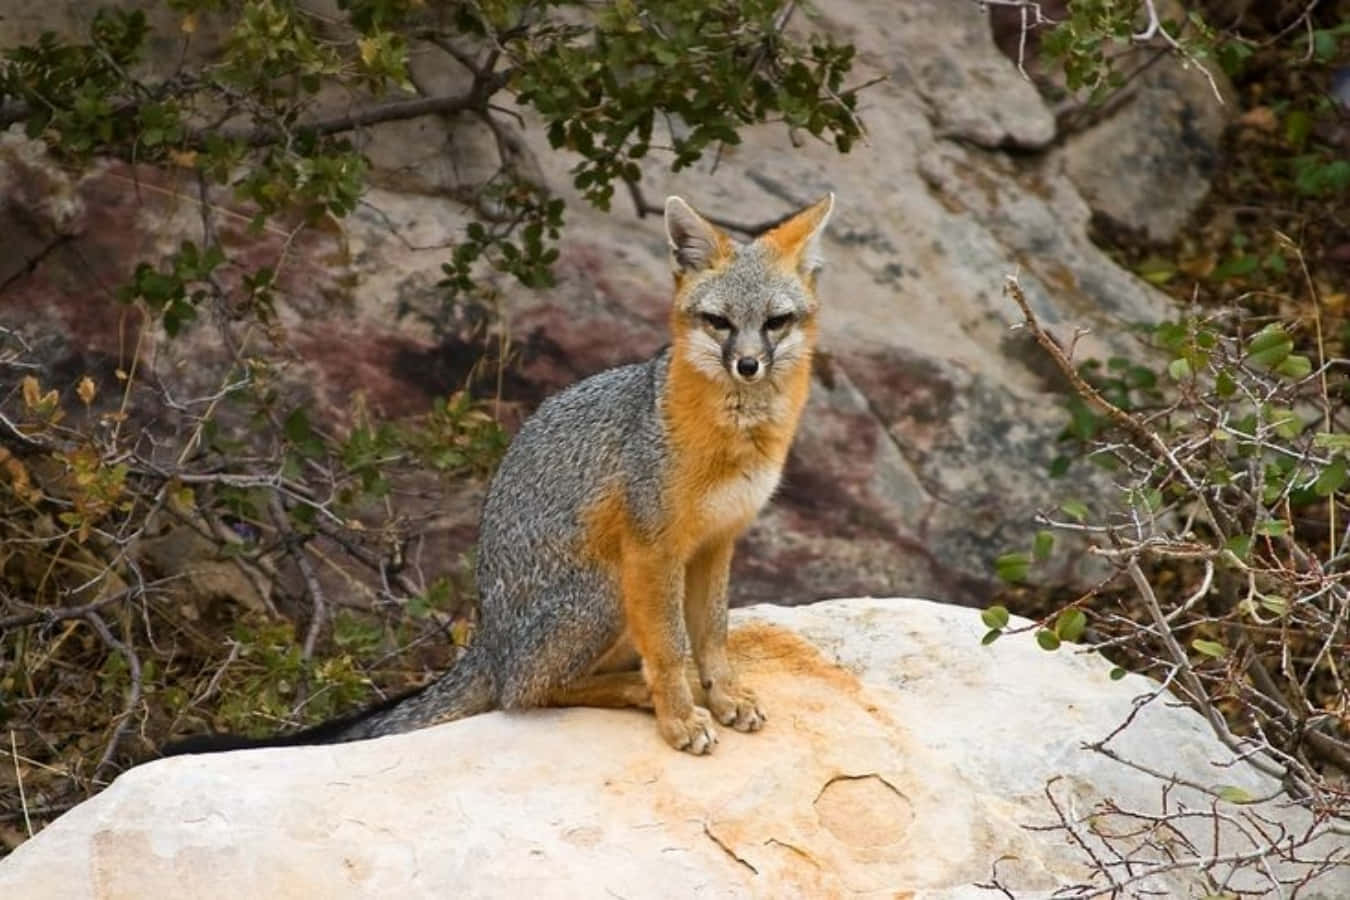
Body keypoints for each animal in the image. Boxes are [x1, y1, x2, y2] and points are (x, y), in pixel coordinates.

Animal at [162, 192, 834, 758]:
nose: (747, 365)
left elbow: (713, 636)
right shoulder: (654, 548)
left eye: (775, 322)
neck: (733, 441)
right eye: (719, 322)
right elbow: (670, 648)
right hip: (607, 589)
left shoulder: (717, 542)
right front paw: (679, 718)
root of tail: (485, 639)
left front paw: (724, 696)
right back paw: (635, 692)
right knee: (524, 692)